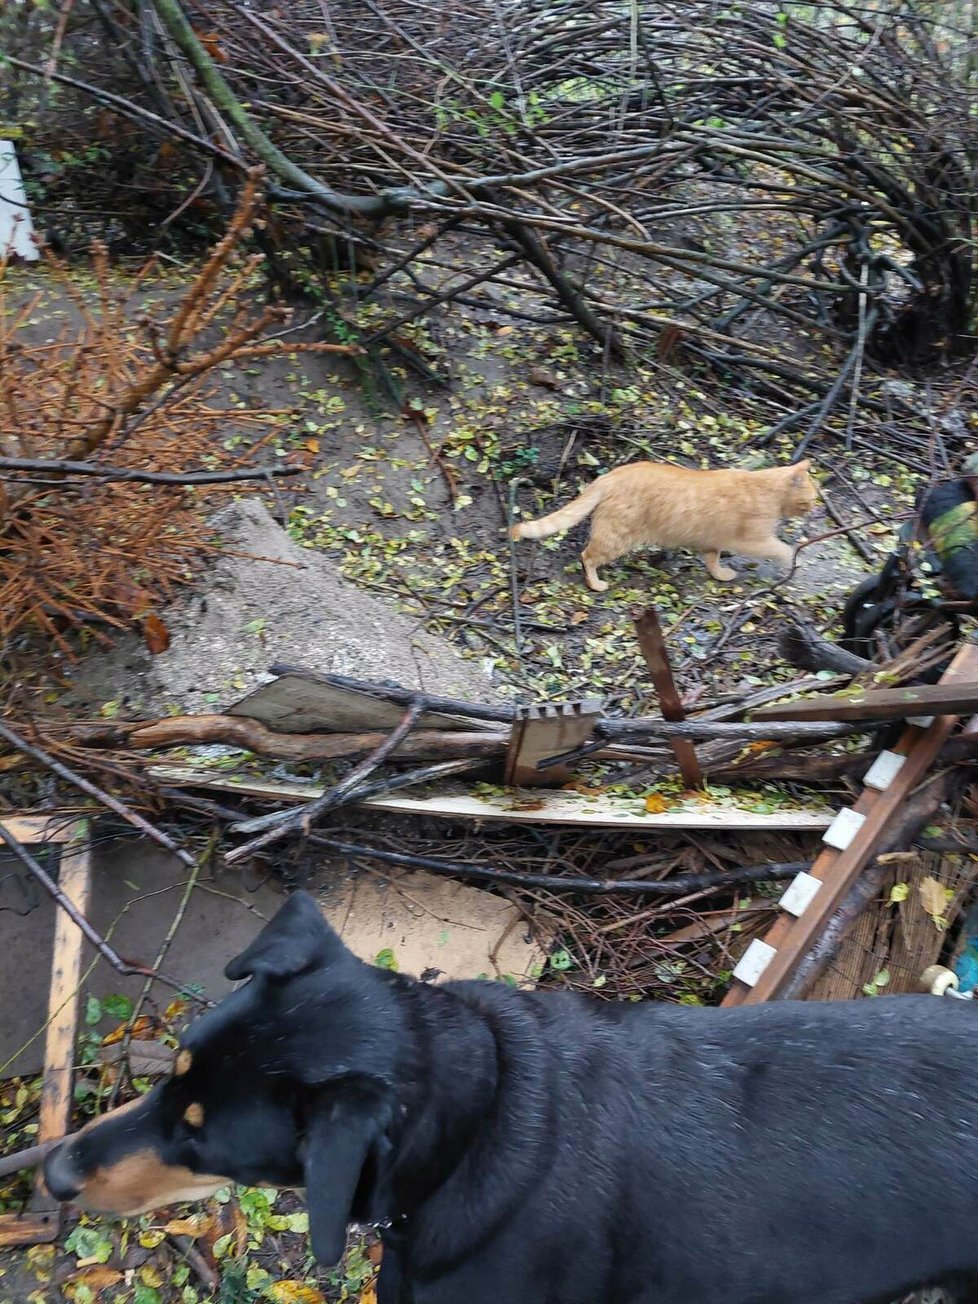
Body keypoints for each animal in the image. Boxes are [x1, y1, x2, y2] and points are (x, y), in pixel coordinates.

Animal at [508, 459, 813, 592]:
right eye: (811, 497)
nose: (816, 507)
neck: (766, 488)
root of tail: (611, 474)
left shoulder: (713, 542)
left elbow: (713, 561)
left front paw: (720, 575)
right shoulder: (751, 539)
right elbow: (783, 548)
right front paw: (795, 562)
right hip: (617, 538)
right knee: (587, 556)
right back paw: (596, 584)